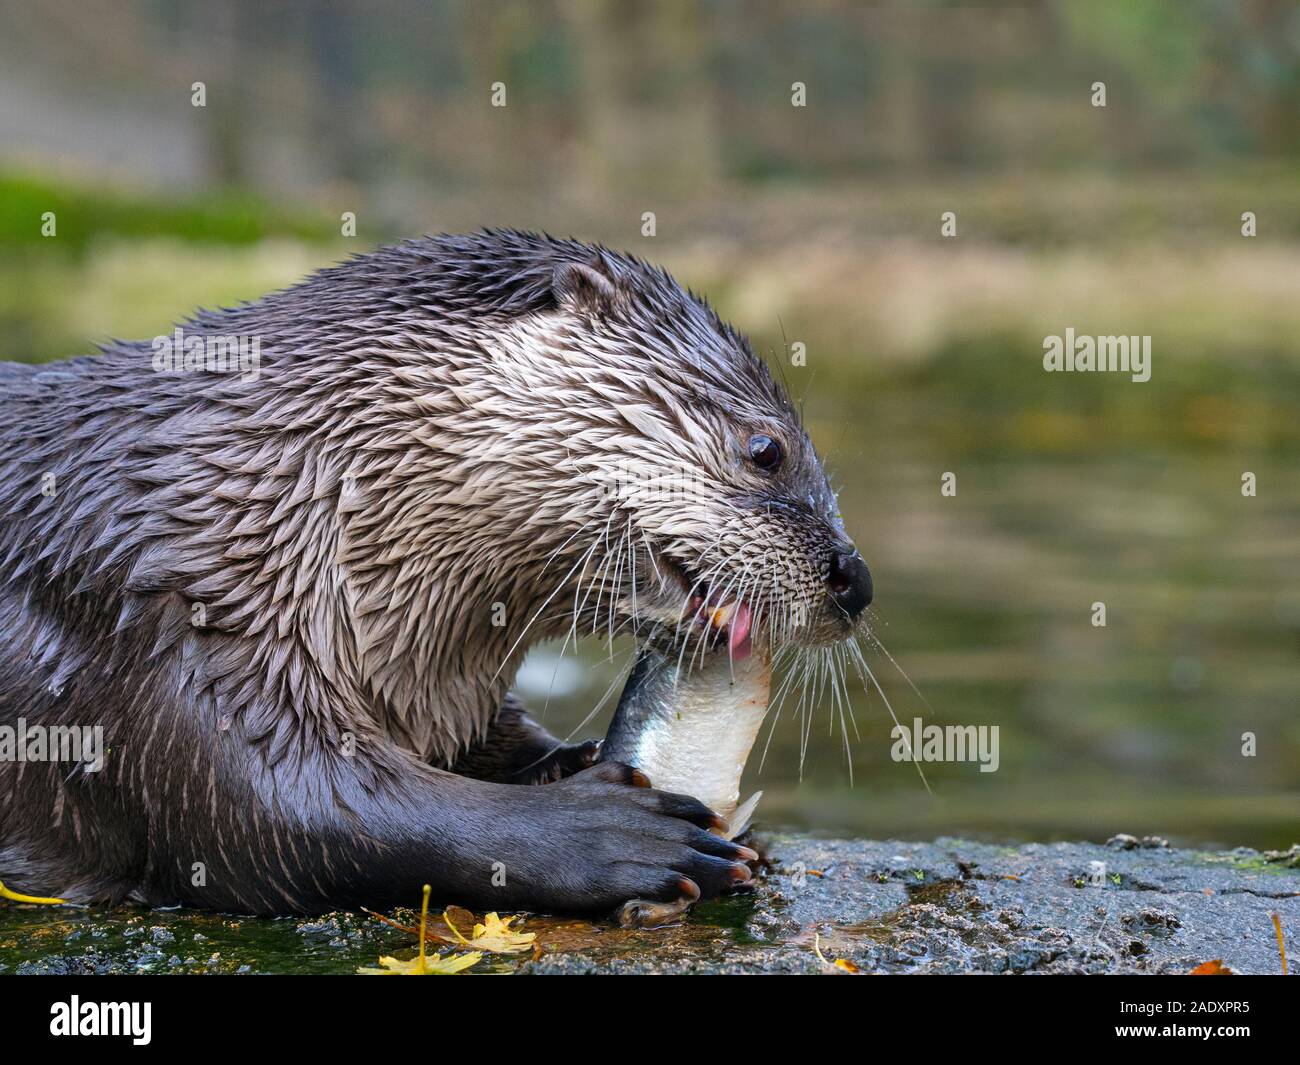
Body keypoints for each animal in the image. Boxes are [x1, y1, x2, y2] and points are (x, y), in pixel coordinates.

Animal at [0, 231, 872, 916]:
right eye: (766, 449)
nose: (855, 579)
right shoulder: (165, 608)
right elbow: (284, 812)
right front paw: (612, 833)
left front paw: (586, 765)